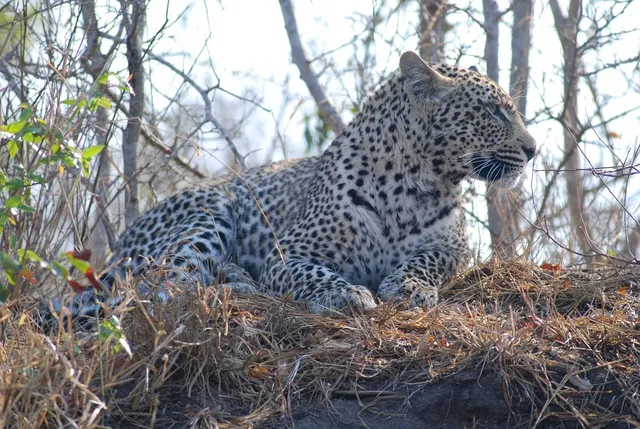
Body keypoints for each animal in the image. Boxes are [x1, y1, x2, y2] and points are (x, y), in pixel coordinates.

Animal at [41, 51, 536, 328]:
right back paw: (238, 281)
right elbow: (308, 273)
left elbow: (425, 261)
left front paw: (409, 286)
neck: (418, 186)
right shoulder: (288, 253)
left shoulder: (452, 247)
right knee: (163, 284)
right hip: (209, 211)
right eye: (495, 111)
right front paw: (345, 293)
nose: (533, 149)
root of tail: (119, 246)